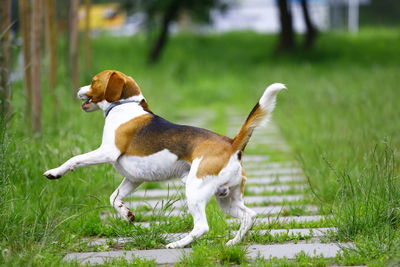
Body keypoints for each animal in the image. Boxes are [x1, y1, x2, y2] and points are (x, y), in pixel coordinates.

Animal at [43, 69, 284, 249]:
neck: (124, 105)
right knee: (249, 216)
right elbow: (114, 198)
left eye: (94, 81)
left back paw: (178, 244)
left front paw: (54, 172)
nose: (77, 90)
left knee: (202, 227)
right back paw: (233, 242)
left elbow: (74, 159)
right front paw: (126, 214)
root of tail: (231, 144)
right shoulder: (134, 178)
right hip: (227, 199)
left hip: (195, 191)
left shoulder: (107, 152)